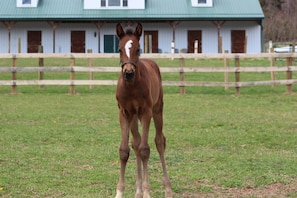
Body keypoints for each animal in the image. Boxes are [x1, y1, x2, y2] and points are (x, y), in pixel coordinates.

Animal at [114, 22, 172, 197]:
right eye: (119, 49)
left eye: (138, 49)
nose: (128, 73)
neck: (132, 87)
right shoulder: (124, 113)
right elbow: (124, 151)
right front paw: (120, 192)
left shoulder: (146, 112)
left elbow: (145, 149)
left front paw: (147, 191)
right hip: (134, 117)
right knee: (136, 143)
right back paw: (138, 190)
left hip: (157, 110)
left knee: (159, 141)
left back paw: (167, 188)